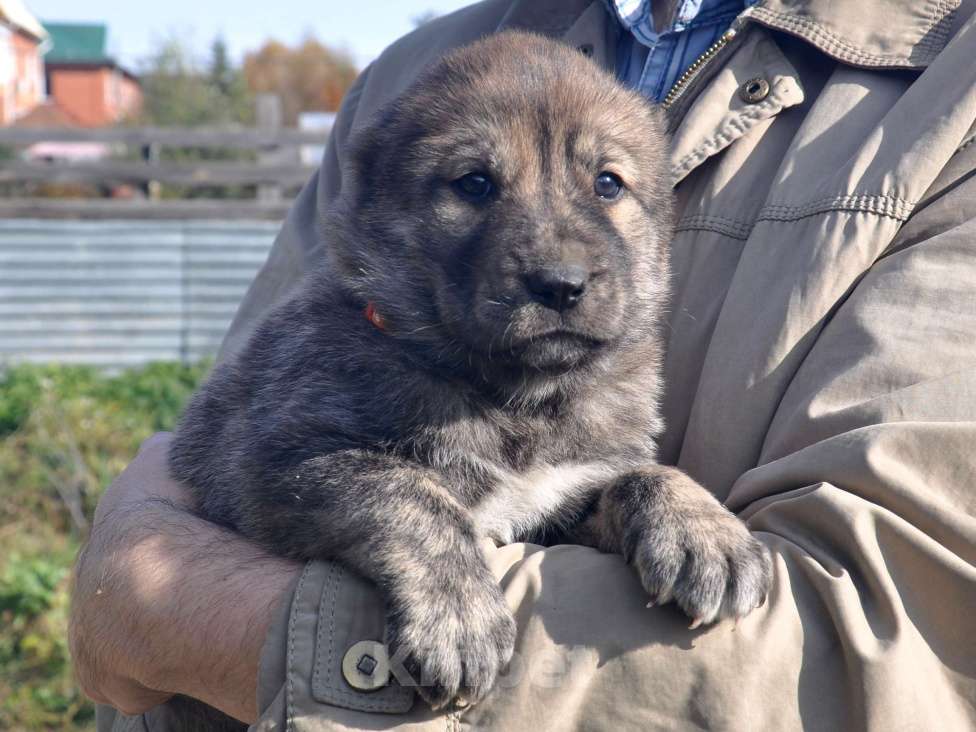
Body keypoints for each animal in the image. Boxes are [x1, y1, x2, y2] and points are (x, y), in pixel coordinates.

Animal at [172, 31, 772, 712]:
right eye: (475, 184)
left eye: (607, 183)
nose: (560, 285)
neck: (516, 398)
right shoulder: (269, 459)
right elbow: (408, 492)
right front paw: (458, 617)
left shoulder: (565, 497)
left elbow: (639, 474)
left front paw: (704, 530)